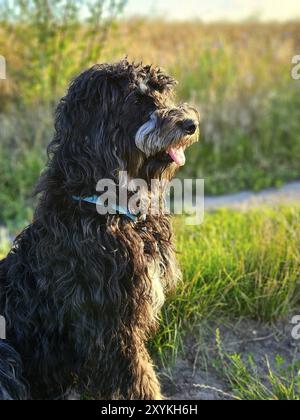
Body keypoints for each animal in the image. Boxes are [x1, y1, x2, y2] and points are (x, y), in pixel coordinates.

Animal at [0, 60, 199, 400]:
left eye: (162, 93)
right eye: (137, 100)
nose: (190, 124)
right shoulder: (110, 325)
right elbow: (138, 377)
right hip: (6, 354)